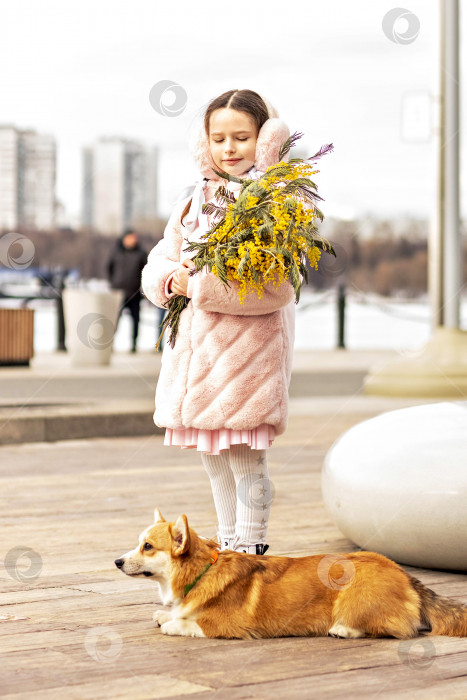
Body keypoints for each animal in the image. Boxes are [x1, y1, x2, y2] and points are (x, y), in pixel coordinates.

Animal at [115, 508, 467, 640]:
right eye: (139, 543)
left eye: (147, 546)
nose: (117, 561)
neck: (201, 570)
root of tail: (406, 576)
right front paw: (166, 613)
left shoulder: (226, 625)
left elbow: (189, 624)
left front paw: (173, 622)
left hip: (354, 598)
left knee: (396, 629)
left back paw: (344, 630)